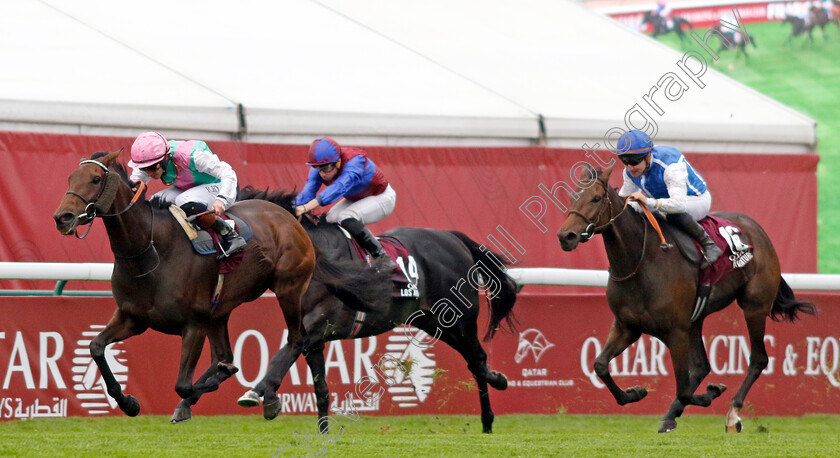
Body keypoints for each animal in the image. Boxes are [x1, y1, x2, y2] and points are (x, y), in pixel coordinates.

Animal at [556, 165, 816, 432]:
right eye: (572, 197)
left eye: (596, 198)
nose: (566, 236)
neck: (640, 263)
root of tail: (758, 232)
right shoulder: (628, 326)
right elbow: (600, 366)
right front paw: (636, 392)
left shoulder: (675, 331)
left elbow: (683, 389)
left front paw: (712, 392)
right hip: (696, 320)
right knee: (702, 366)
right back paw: (672, 415)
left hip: (754, 306)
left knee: (758, 359)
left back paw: (732, 412)